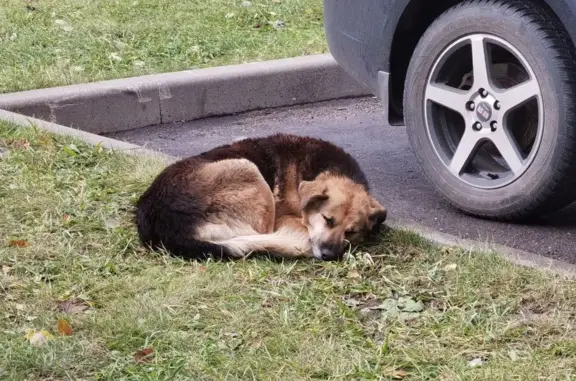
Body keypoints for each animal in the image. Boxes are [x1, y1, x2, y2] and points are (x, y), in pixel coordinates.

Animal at [135, 132, 388, 260]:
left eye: (352, 232)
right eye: (327, 219)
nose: (329, 256)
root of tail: (166, 227)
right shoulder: (285, 219)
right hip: (247, 170)